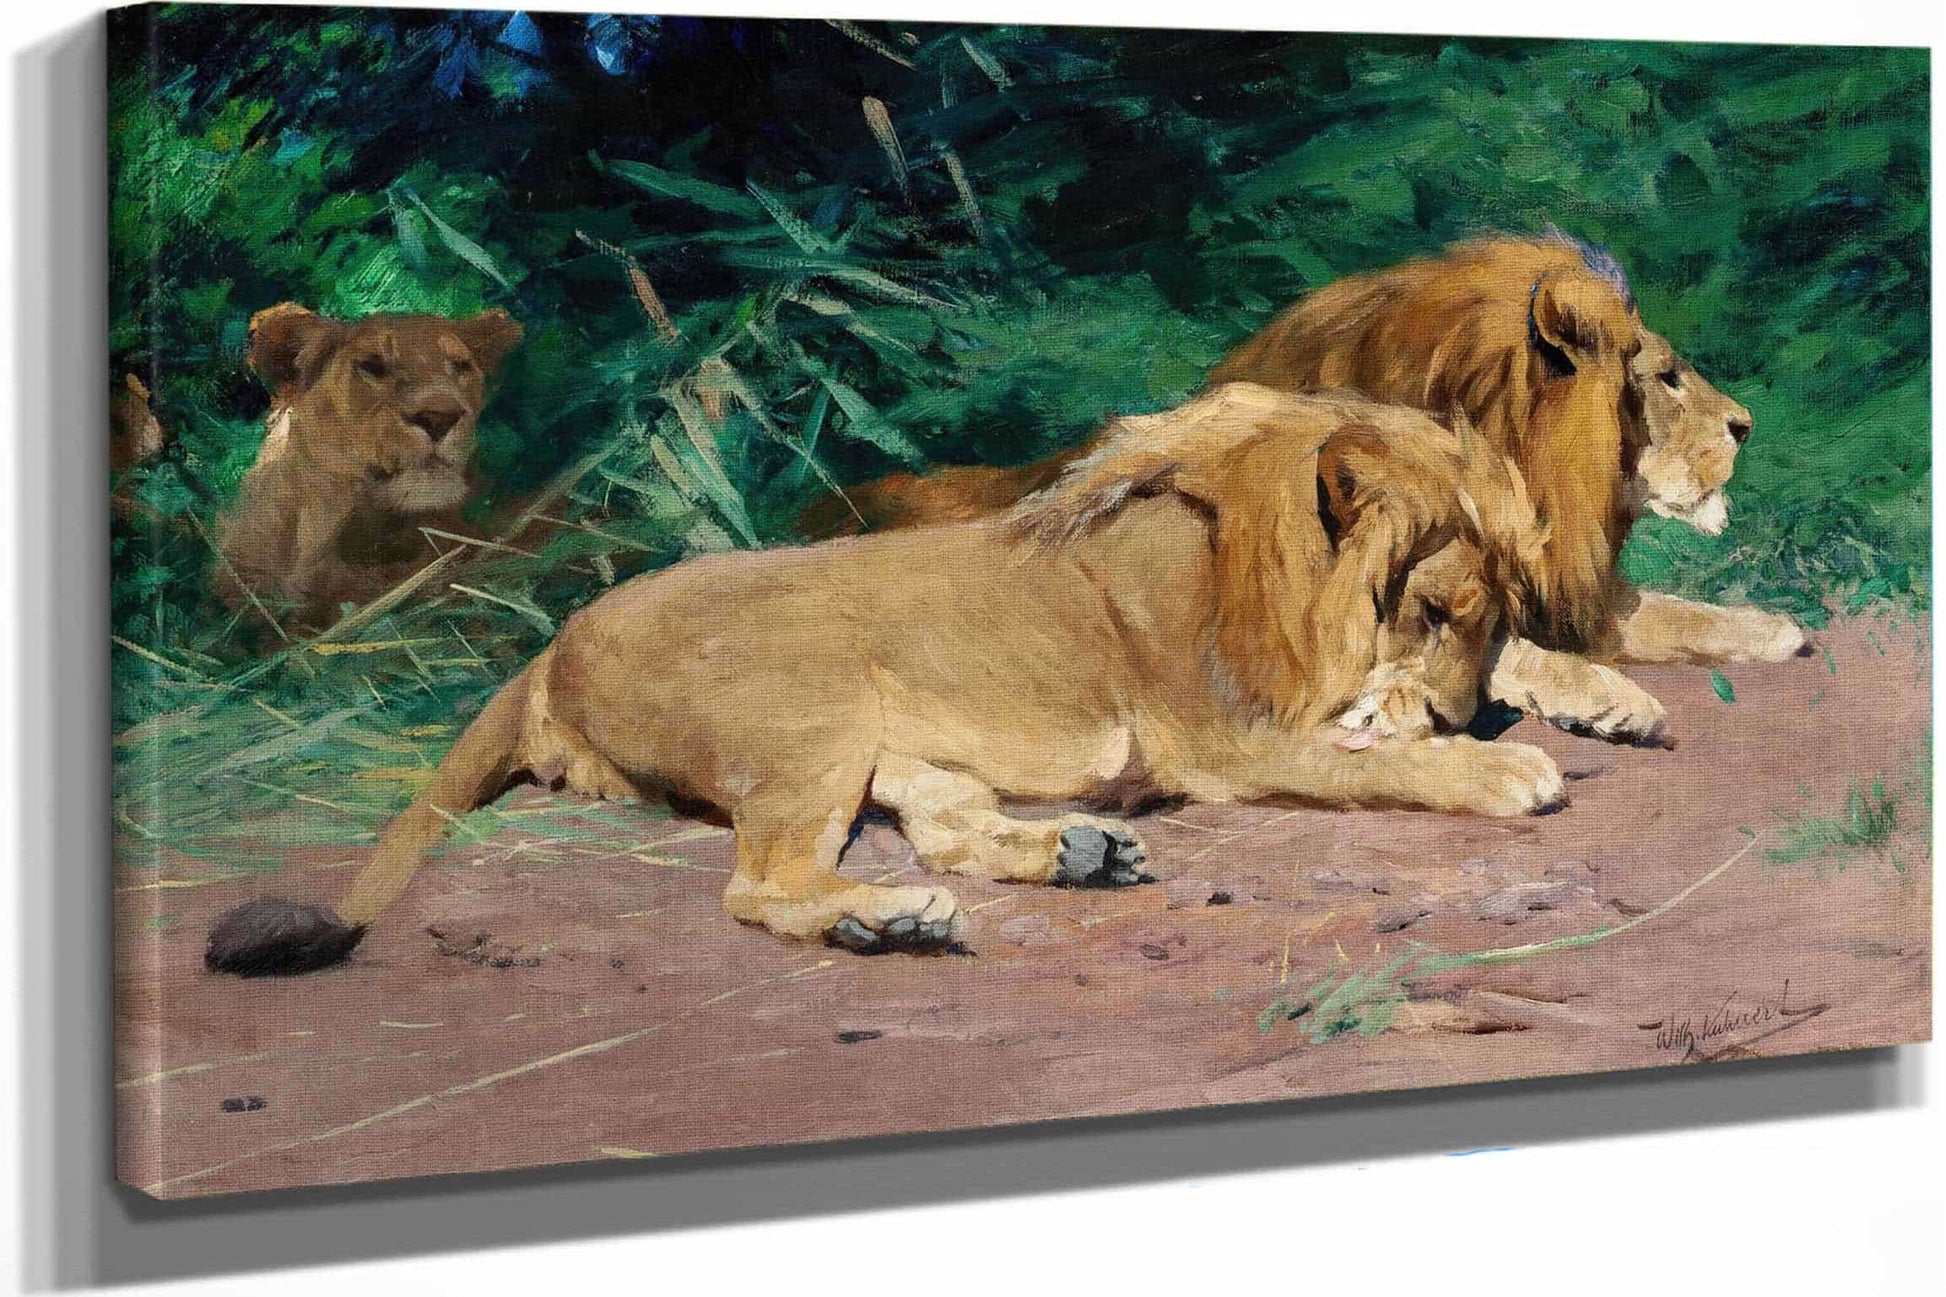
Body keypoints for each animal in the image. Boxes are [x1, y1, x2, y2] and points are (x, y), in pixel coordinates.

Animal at [206, 384, 1559, 977]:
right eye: (1432, 611)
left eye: (1485, 620)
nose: (1467, 707)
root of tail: (548, 646)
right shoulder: (1224, 739)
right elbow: (1380, 757)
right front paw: (1495, 762)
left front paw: (1543, 702)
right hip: (814, 706)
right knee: (759, 886)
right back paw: (887, 920)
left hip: (875, 741)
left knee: (946, 830)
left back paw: (1070, 852)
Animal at [815, 234, 1806, 742]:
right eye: (1667, 375)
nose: (1748, 424)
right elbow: (1497, 645)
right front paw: (1612, 698)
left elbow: (1669, 609)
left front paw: (1774, 628)